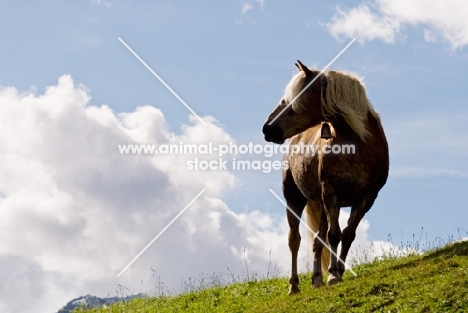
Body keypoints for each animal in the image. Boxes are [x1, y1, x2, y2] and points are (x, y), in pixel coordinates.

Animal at [262, 60, 390, 292]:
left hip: (321, 205)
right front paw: (333, 274)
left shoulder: (367, 198)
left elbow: (347, 234)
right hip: (295, 199)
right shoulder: (332, 193)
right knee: (295, 240)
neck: (354, 143)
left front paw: (338, 270)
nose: (267, 129)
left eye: (296, 96)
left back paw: (316, 278)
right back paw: (294, 285)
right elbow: (334, 234)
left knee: (317, 241)